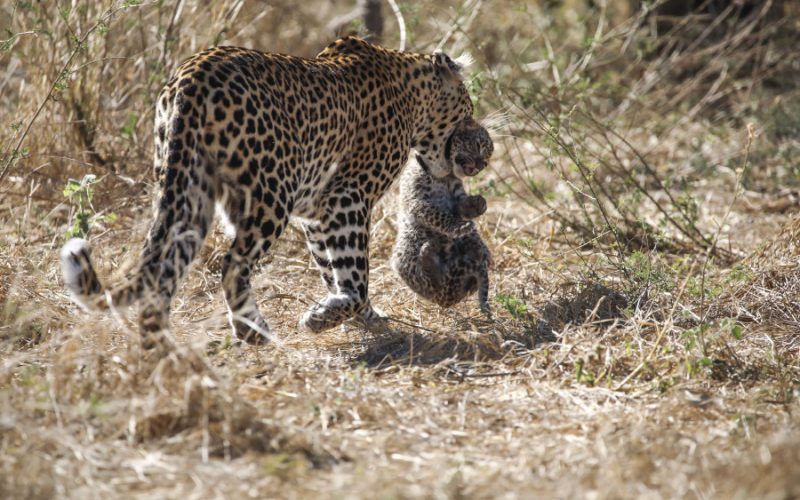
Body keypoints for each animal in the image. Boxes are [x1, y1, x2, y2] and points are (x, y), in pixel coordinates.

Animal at [62, 37, 478, 346]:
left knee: (164, 269)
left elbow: (332, 269)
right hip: (269, 197)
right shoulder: (347, 198)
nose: (475, 133)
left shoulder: (316, 213)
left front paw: (354, 317)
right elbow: (354, 273)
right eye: (468, 107)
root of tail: (189, 79)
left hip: (186, 192)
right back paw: (251, 330)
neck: (411, 89)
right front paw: (328, 317)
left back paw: (162, 351)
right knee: (232, 264)